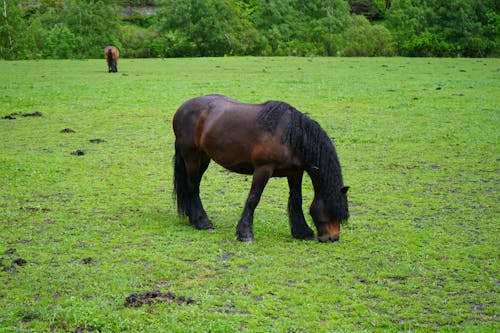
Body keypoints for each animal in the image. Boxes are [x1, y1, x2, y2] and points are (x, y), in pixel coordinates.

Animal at [174, 94, 350, 243]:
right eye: (334, 209)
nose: (333, 237)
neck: (291, 136)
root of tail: (182, 108)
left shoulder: (295, 172)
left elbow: (296, 199)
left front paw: (302, 232)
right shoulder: (263, 169)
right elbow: (253, 199)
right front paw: (245, 233)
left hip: (204, 158)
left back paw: (193, 218)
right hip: (191, 156)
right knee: (193, 187)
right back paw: (202, 222)